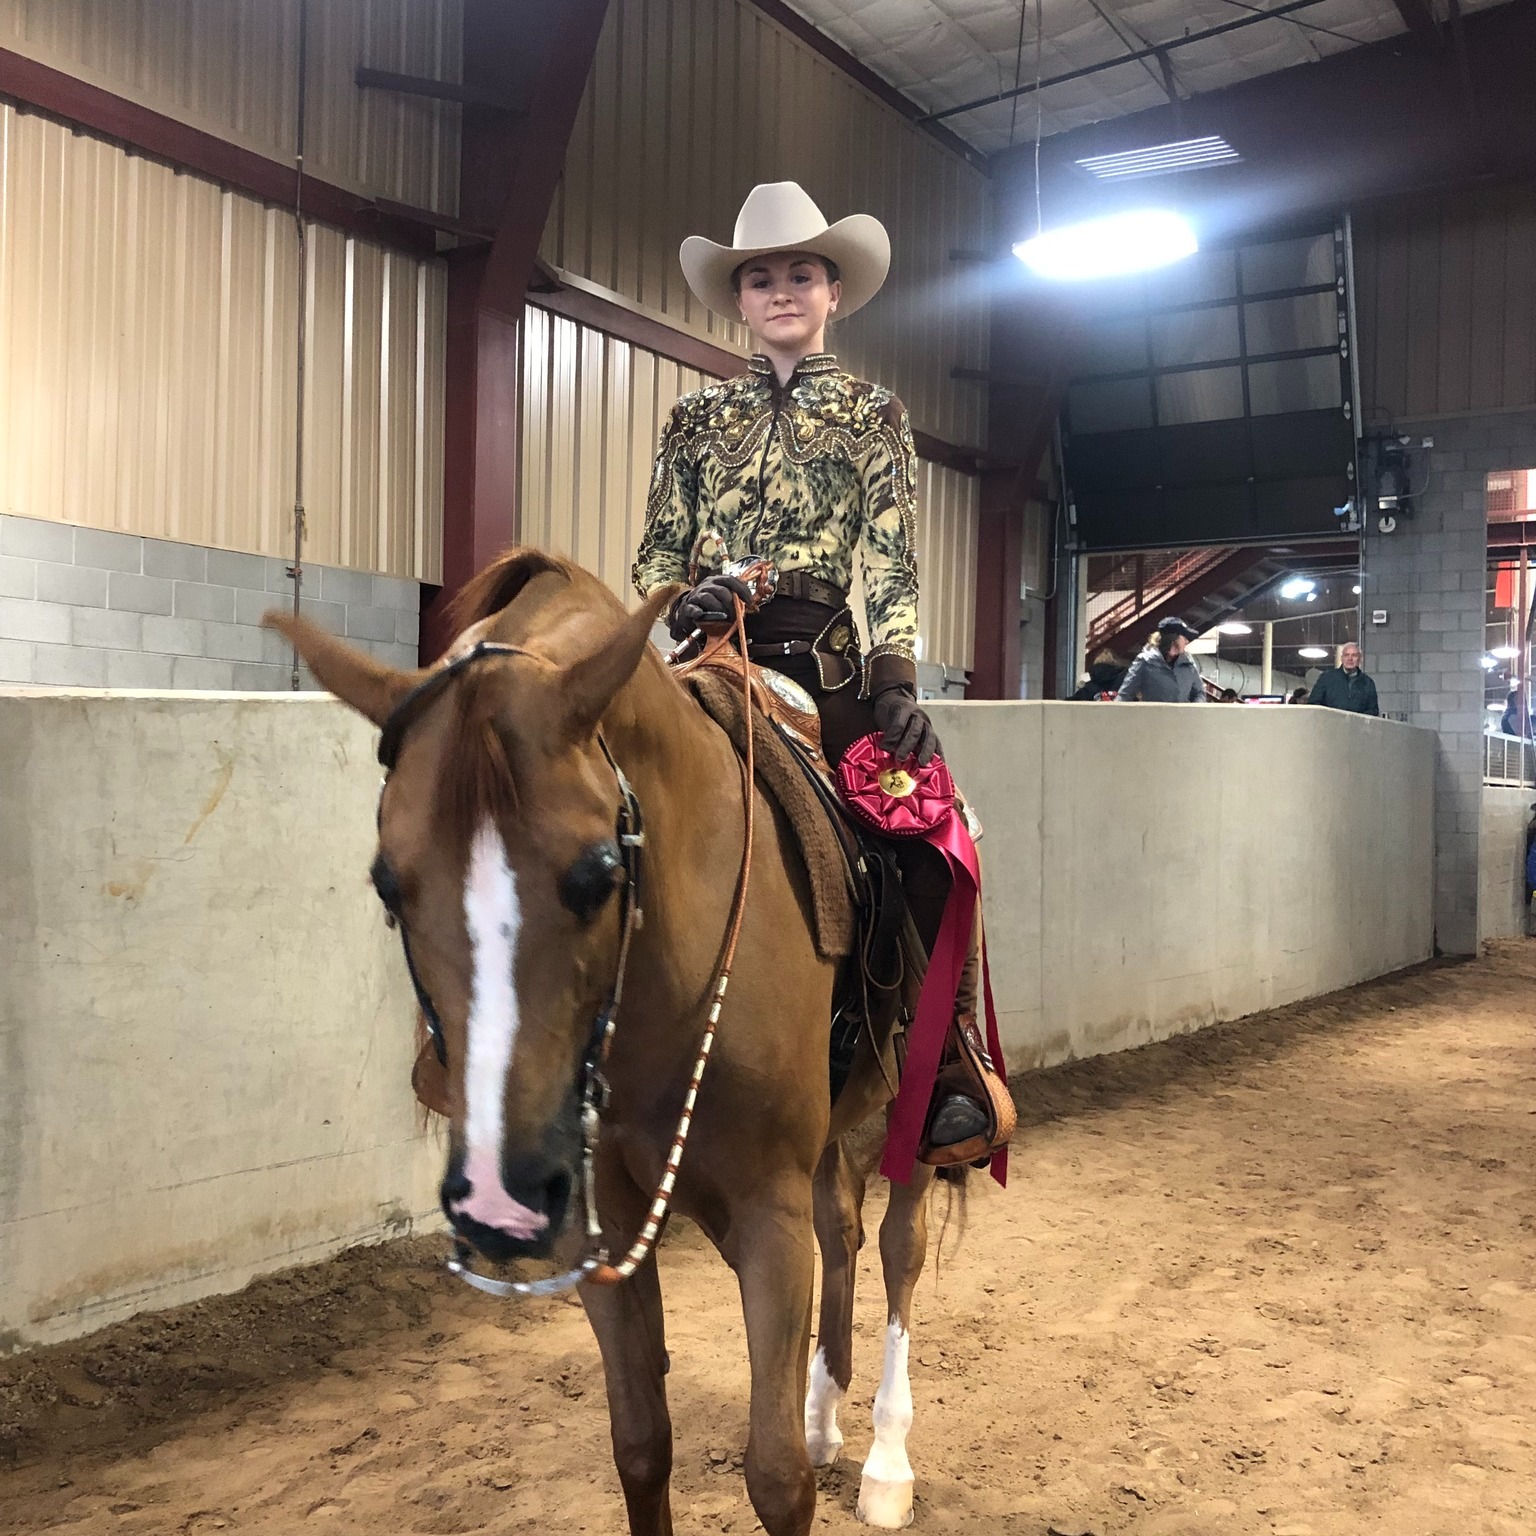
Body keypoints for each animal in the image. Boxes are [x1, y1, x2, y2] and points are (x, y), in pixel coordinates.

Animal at [268, 548, 953, 1536]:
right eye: (388, 882)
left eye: (596, 871)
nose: (499, 1195)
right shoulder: (608, 1227)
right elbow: (641, 1444)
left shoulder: (768, 1214)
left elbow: (776, 1477)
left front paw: (819, 1455)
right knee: (846, 1228)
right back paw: (827, 1415)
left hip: (916, 1109)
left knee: (900, 1247)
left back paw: (886, 1463)